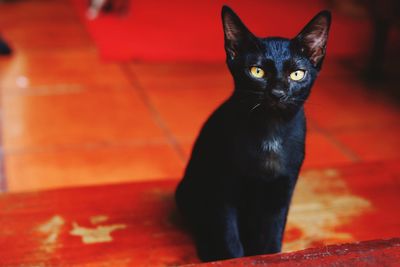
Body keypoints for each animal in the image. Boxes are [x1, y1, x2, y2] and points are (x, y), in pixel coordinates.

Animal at [175, 5, 332, 262]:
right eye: (257, 71)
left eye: (297, 74)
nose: (277, 93)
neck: (270, 133)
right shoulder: (224, 193)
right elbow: (230, 242)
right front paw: (231, 257)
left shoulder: (282, 193)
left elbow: (270, 242)